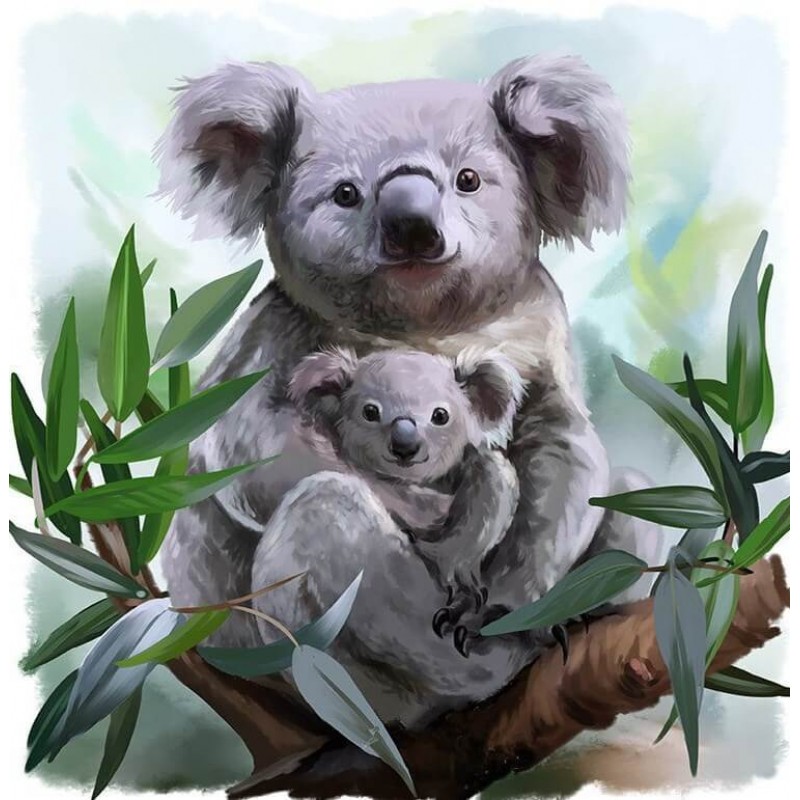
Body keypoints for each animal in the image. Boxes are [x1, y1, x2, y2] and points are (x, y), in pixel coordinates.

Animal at [156, 53, 662, 729]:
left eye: (468, 180)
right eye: (346, 193)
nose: (413, 227)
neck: (426, 327)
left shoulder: (541, 341)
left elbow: (565, 458)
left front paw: (505, 606)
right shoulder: (270, 345)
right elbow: (248, 453)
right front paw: (436, 510)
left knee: (632, 501)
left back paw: (544, 630)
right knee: (328, 526)